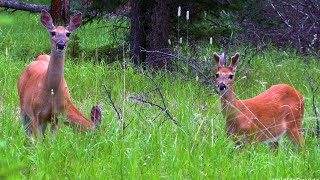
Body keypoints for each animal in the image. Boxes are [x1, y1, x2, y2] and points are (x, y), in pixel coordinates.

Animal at [17, 9, 101, 139]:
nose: (61, 44)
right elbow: (38, 141)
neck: (52, 90)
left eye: (68, 34)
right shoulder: (36, 114)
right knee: (28, 134)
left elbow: (52, 141)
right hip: (24, 108)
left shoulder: (58, 117)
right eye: (53, 32)